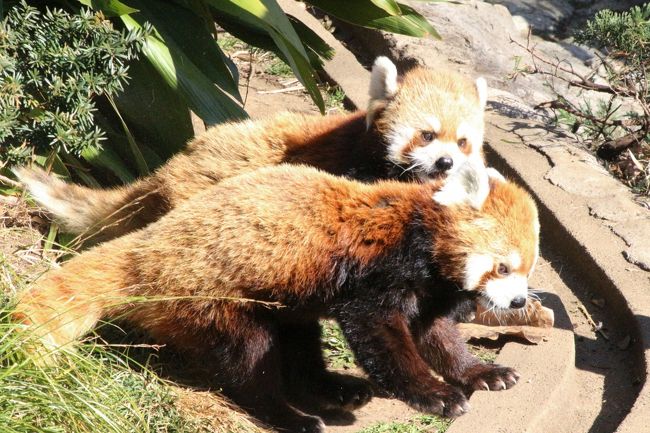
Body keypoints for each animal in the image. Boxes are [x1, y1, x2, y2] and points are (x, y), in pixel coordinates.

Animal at [15, 159, 540, 432]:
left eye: (527, 269)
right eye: (503, 266)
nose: (517, 304)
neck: (418, 235)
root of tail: (147, 246)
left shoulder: (430, 292)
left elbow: (439, 337)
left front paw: (482, 373)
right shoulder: (379, 273)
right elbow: (382, 338)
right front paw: (435, 395)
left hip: (286, 299)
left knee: (298, 345)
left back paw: (334, 388)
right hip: (213, 299)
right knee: (251, 361)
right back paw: (292, 416)